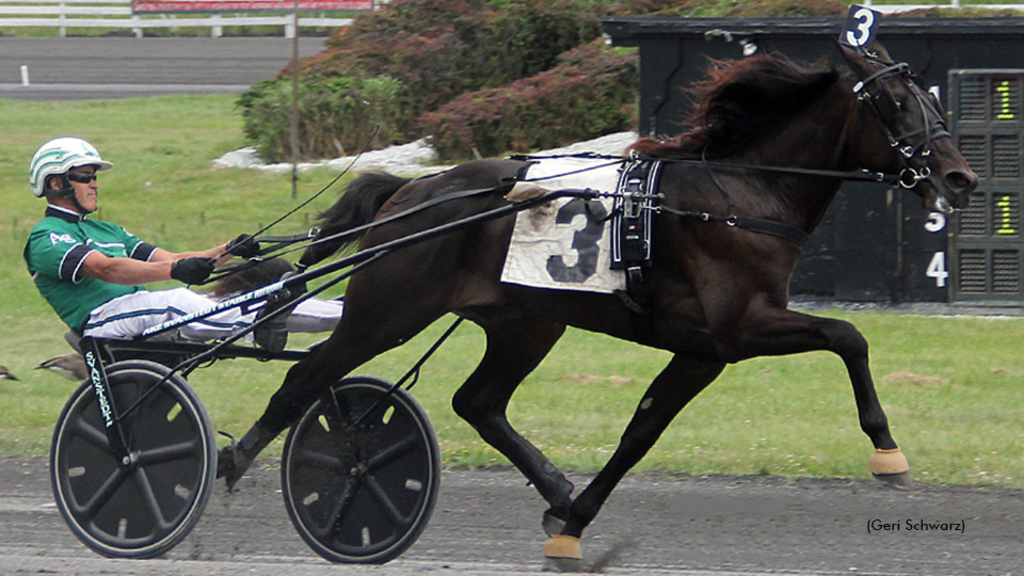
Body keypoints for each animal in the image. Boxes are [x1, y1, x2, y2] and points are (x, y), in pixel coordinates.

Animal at [222, 43, 974, 565]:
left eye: (931, 100)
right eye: (897, 103)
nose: (959, 177)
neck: (740, 195)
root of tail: (410, 190)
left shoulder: (702, 350)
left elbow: (640, 432)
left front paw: (573, 521)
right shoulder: (740, 328)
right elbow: (848, 335)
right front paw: (887, 451)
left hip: (526, 323)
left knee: (478, 402)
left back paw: (554, 488)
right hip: (389, 310)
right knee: (308, 375)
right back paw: (231, 463)